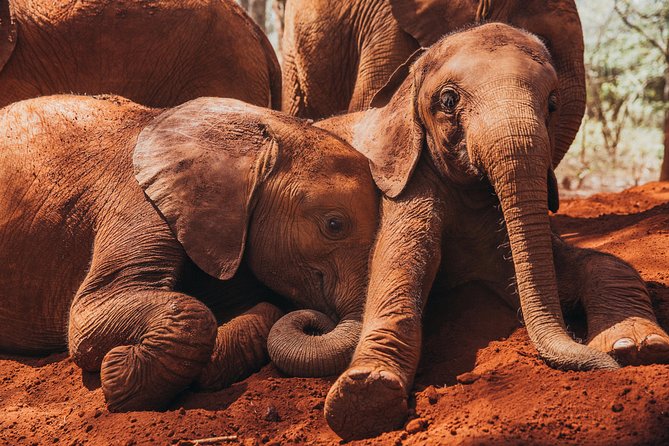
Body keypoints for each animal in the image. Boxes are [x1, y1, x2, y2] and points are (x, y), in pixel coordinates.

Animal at [0, 94, 378, 411]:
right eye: (334, 225)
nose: (317, 323)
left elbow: (263, 307)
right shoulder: (139, 203)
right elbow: (89, 316)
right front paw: (116, 372)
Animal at [315, 23, 669, 439]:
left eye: (552, 104)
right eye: (448, 100)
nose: (602, 366)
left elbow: (600, 263)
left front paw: (637, 346)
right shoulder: (407, 179)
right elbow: (396, 271)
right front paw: (364, 398)